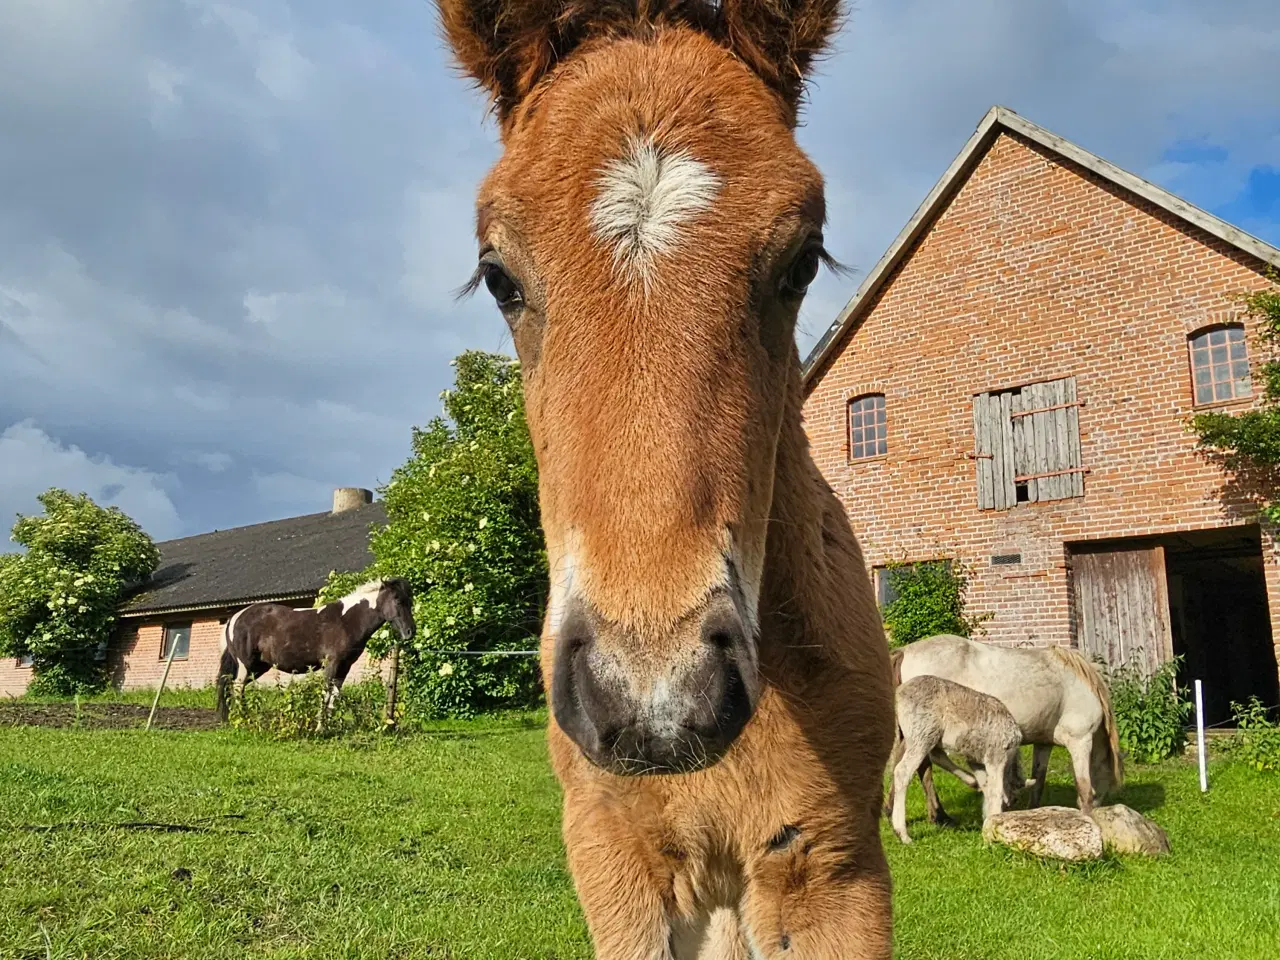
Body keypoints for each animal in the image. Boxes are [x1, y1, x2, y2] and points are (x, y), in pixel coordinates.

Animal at [216, 576, 414, 727]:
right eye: (397, 599)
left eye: (410, 601)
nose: (411, 631)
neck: (346, 621)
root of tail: (235, 617)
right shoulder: (331, 664)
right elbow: (325, 693)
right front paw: (320, 727)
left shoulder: (344, 667)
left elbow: (334, 696)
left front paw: (330, 725)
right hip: (246, 665)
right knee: (237, 688)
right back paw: (243, 721)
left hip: (258, 667)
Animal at [885, 670, 1024, 844]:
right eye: (1016, 800)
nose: (1010, 808)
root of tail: (898, 694)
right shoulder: (997, 754)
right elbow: (996, 790)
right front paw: (992, 826)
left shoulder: (976, 760)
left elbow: (987, 786)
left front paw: (987, 819)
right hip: (922, 731)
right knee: (903, 771)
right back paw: (902, 833)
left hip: (930, 734)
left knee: (935, 756)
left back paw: (971, 781)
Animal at [890, 634, 1121, 824]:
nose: (1101, 804)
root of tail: (906, 651)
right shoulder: (1080, 740)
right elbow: (1084, 789)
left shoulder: (1043, 743)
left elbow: (1038, 781)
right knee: (924, 763)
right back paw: (941, 810)